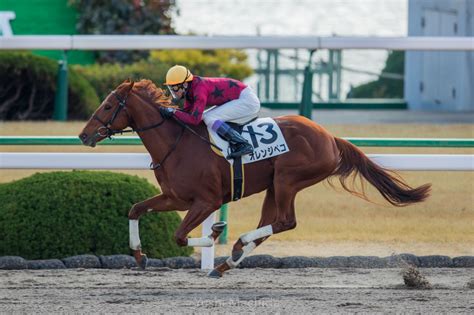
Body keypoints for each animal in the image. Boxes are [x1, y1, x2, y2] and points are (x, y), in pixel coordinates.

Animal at [79, 80, 432, 278]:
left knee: (286, 222)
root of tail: (330, 137)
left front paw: (215, 232)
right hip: (274, 186)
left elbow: (180, 236)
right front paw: (139, 255)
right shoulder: (174, 197)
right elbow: (136, 209)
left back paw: (236, 245)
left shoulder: (206, 200)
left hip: (289, 179)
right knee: (271, 225)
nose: (83, 135)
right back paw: (226, 264)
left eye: (108, 105)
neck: (176, 143)